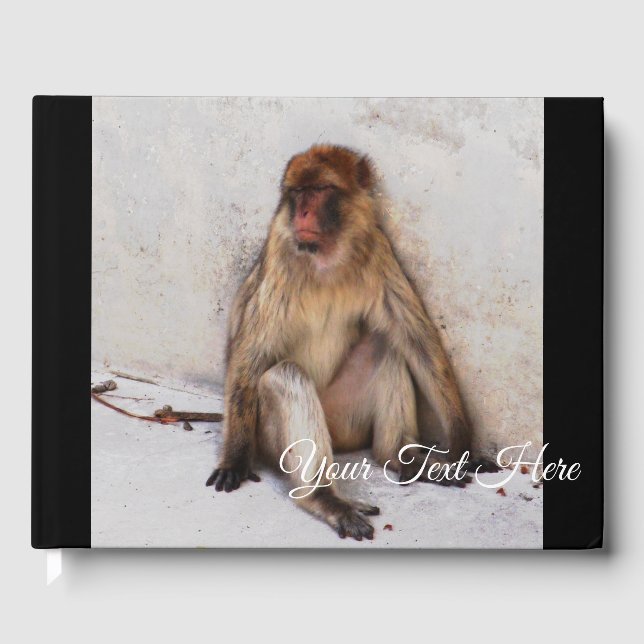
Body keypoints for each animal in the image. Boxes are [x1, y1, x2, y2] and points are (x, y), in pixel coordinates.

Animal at [206, 144, 497, 540]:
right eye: (298, 193)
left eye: (320, 190)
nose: (303, 212)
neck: (326, 257)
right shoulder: (281, 255)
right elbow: (250, 359)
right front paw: (234, 459)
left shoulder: (377, 248)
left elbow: (416, 341)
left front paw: (462, 442)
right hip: (267, 434)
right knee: (285, 375)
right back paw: (325, 498)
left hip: (345, 417)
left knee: (386, 346)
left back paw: (402, 456)